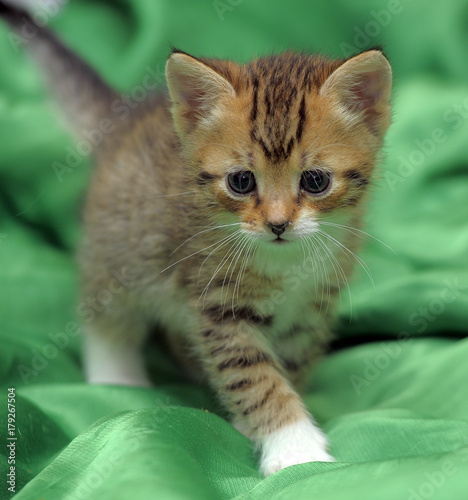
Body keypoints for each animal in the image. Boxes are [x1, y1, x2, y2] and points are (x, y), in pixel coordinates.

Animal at [0, 0, 392, 476]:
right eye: (241, 181)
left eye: (315, 181)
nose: (278, 224)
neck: (286, 265)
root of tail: (125, 121)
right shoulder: (219, 306)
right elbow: (256, 376)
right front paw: (294, 446)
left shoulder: (311, 309)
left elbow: (286, 366)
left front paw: (256, 424)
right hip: (120, 245)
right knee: (106, 309)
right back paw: (116, 375)